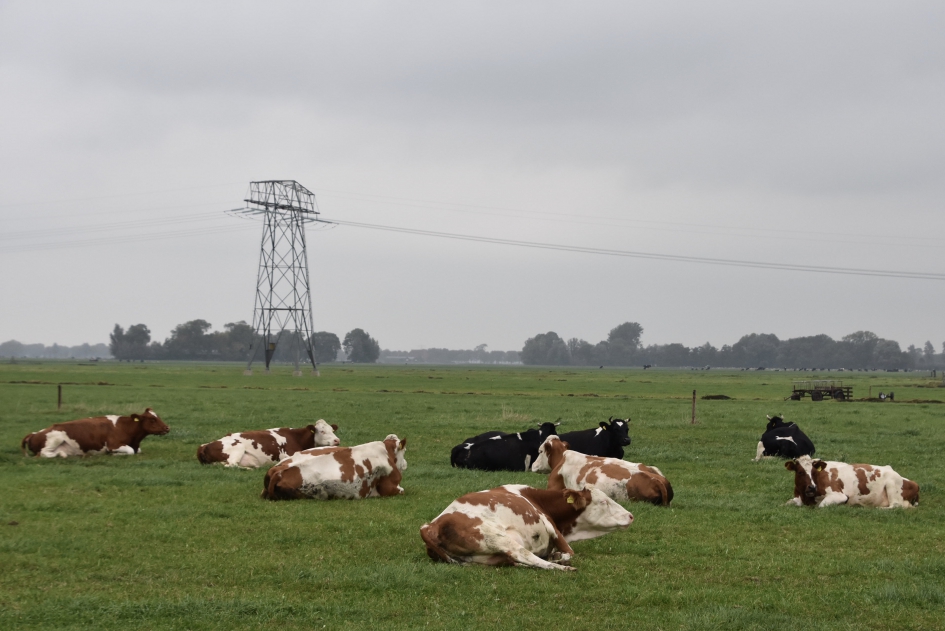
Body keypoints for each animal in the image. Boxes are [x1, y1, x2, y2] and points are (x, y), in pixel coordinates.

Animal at [21, 408, 169, 458]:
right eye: (152, 419)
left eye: (158, 416)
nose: (167, 428)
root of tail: (34, 433)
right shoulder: (113, 445)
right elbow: (130, 451)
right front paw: (114, 454)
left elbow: (136, 450)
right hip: (55, 438)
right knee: (43, 454)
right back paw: (62, 454)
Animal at [197, 420, 340, 468]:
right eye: (322, 431)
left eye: (332, 430)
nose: (337, 440)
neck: (296, 438)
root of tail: (205, 445)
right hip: (238, 448)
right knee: (231, 465)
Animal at [419, 484, 633, 571]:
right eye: (604, 501)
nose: (631, 516)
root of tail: (430, 525)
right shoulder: (551, 527)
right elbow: (569, 552)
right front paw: (559, 558)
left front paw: (555, 555)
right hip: (497, 537)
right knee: (524, 555)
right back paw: (562, 568)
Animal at [785, 455, 919, 508]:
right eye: (800, 472)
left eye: (814, 472)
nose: (811, 487)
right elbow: (787, 503)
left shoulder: (839, 495)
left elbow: (821, 505)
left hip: (892, 484)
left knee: (896, 506)